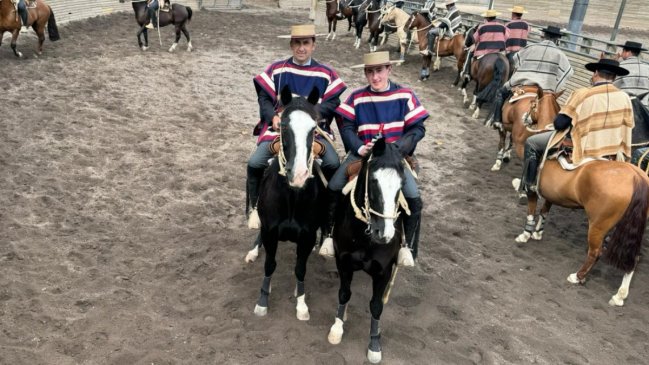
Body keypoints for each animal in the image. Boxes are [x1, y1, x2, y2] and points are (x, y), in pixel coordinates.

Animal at [251, 84, 326, 318]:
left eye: (314, 128)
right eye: (284, 125)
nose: (299, 174)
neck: (292, 196)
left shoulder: (307, 237)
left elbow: (300, 269)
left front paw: (301, 303)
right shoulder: (270, 231)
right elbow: (269, 264)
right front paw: (263, 300)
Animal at [326, 137, 412, 364]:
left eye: (401, 184)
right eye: (373, 181)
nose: (385, 233)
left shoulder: (383, 272)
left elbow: (376, 306)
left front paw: (374, 344)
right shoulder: (343, 262)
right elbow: (344, 293)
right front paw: (337, 327)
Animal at [512, 152, 648, 306]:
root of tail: (636, 177)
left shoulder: (533, 189)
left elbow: (531, 209)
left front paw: (525, 235)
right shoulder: (551, 194)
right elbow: (544, 210)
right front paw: (537, 232)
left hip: (597, 227)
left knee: (595, 253)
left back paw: (577, 276)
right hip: (628, 230)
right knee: (634, 258)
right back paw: (619, 296)